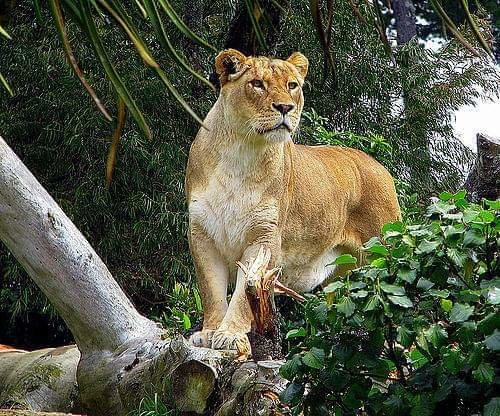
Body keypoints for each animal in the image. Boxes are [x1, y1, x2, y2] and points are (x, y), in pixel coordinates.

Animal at [186, 49, 401, 351]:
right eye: (257, 84)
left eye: (292, 86)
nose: (285, 107)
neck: (241, 151)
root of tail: (378, 165)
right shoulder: (201, 234)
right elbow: (211, 289)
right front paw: (209, 332)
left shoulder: (265, 238)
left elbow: (242, 295)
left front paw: (230, 335)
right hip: (342, 276)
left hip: (386, 248)